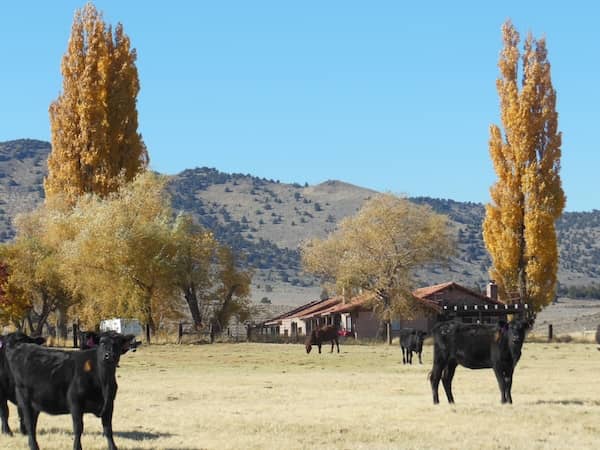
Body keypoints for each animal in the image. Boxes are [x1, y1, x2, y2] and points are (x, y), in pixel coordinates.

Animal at [5, 330, 137, 450]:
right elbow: (78, 428)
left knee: (33, 424)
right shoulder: (75, 402)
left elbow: (108, 429)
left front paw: (113, 447)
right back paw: (33, 446)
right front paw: (77, 447)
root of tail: (21, 346)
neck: (104, 382)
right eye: (102, 342)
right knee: (29, 424)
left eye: (117, 344)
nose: (108, 355)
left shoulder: (109, 404)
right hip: (24, 399)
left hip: (36, 404)